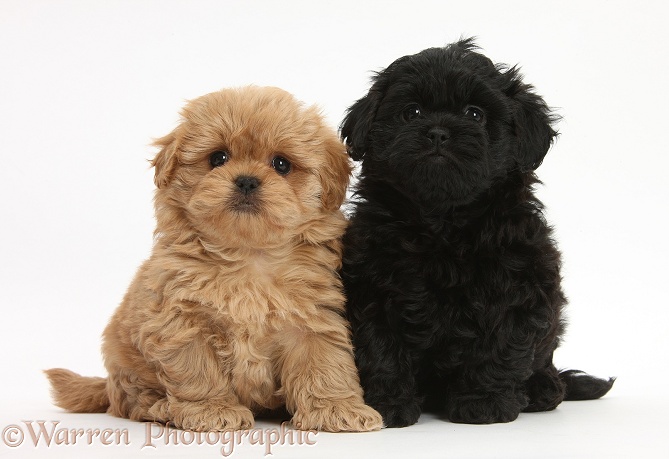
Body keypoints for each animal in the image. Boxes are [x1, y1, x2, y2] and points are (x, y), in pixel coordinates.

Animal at [45, 86, 380, 434]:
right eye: (218, 158)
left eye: (282, 164)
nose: (246, 180)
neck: (248, 256)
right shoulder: (184, 323)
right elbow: (199, 372)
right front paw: (211, 409)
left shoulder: (311, 321)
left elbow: (324, 365)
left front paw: (336, 408)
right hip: (126, 363)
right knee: (133, 401)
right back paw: (161, 407)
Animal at [342, 39, 612, 428]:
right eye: (412, 112)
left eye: (474, 115)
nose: (438, 132)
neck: (443, 221)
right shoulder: (373, 289)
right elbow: (380, 347)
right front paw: (387, 404)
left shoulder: (518, 287)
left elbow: (499, 346)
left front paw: (484, 402)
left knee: (544, 363)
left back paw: (543, 390)